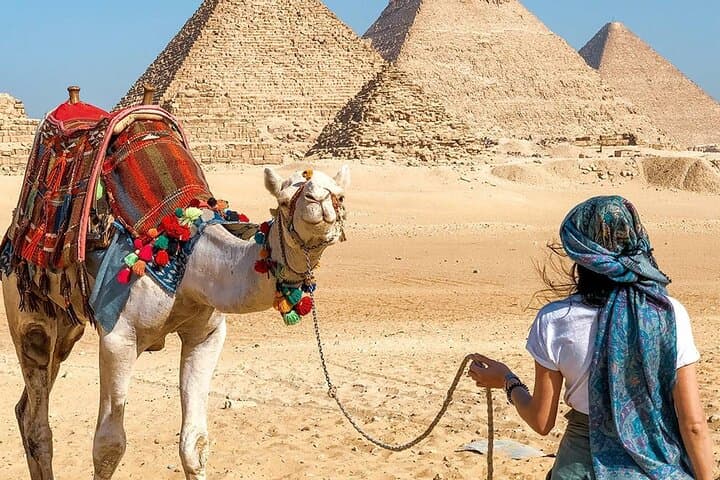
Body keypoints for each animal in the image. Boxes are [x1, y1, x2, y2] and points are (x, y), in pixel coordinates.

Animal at [2, 165, 350, 480]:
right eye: (284, 198)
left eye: (340, 194)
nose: (319, 201)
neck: (193, 261)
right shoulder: (118, 338)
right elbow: (108, 448)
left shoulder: (206, 335)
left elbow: (194, 444)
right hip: (27, 311)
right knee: (38, 420)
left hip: (67, 328)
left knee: (25, 408)